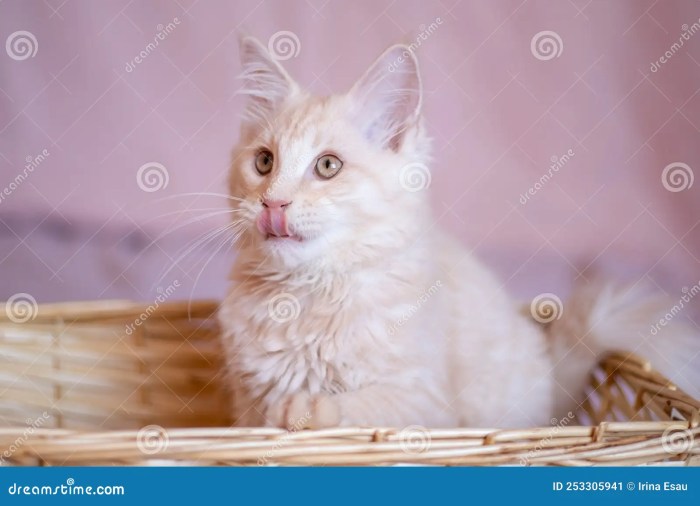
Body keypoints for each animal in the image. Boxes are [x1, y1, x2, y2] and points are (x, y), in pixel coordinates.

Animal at [217, 37, 696, 428]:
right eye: (264, 162)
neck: (304, 295)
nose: (273, 203)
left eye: (328, 166)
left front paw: (306, 408)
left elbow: (363, 405)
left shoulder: (429, 403)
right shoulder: (243, 403)